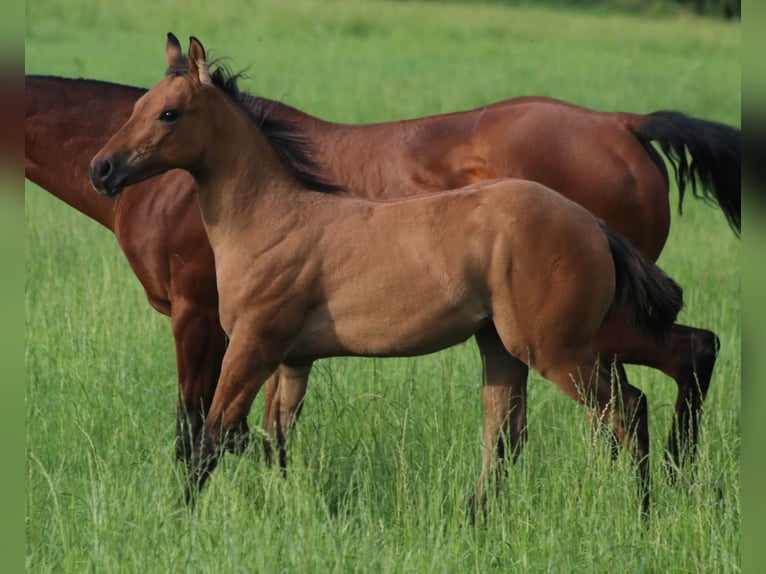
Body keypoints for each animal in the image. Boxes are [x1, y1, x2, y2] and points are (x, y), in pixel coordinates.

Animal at [27, 36, 740, 476]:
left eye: (169, 113)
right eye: (138, 107)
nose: (103, 169)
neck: (274, 211)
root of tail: (623, 124)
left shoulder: (212, 326)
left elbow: (200, 436)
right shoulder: (284, 353)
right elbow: (262, 439)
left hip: (571, 338)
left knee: (654, 385)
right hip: (523, 342)